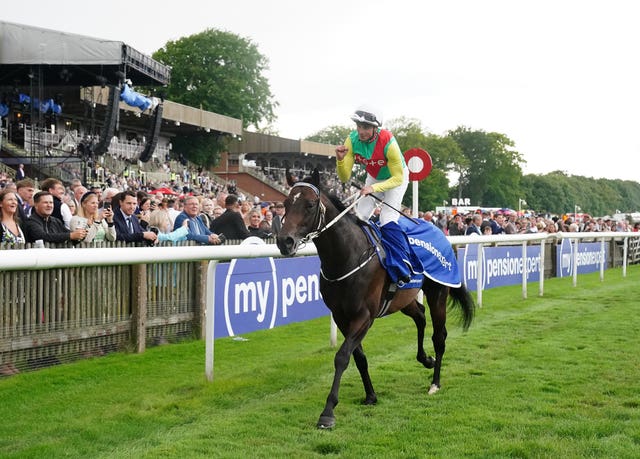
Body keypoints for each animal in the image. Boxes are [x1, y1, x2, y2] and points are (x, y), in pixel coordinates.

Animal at [276, 171, 476, 430]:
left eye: (310, 205)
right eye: (285, 203)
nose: (284, 241)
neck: (347, 256)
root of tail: (439, 231)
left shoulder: (364, 316)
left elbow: (342, 357)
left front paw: (328, 412)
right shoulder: (341, 316)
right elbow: (358, 357)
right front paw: (371, 395)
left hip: (438, 291)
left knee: (439, 335)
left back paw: (435, 382)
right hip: (403, 299)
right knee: (420, 316)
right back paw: (425, 359)